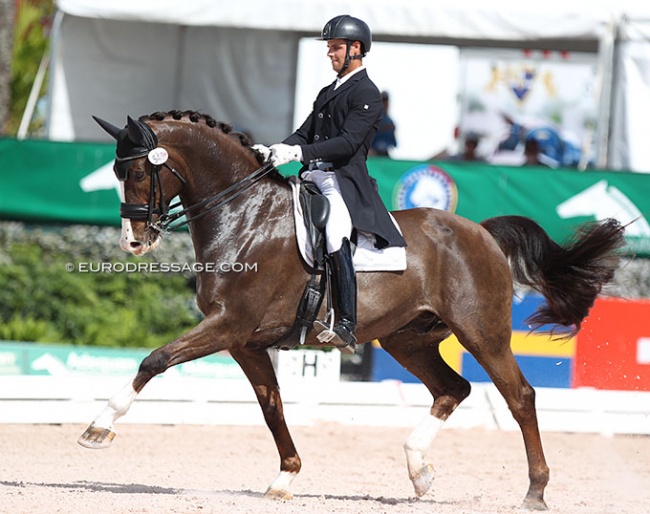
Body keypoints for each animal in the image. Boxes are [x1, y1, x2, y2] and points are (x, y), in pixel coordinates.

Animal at [78, 109, 624, 508]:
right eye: (116, 171)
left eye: (136, 170)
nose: (133, 242)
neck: (245, 216)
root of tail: (481, 231)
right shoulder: (244, 342)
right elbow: (271, 406)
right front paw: (285, 479)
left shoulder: (228, 326)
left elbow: (154, 359)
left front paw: (98, 428)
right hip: (406, 338)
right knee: (454, 388)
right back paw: (419, 473)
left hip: (480, 332)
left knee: (520, 397)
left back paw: (535, 491)